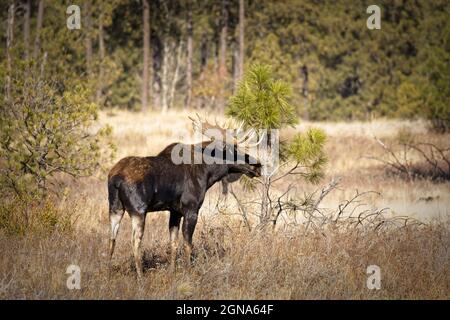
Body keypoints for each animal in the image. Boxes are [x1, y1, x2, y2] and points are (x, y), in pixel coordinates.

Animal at [107, 115, 262, 278]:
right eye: (233, 149)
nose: (257, 166)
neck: (208, 173)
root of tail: (116, 178)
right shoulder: (191, 209)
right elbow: (188, 243)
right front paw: (188, 271)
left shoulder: (175, 212)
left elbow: (173, 243)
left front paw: (172, 271)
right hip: (138, 210)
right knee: (135, 241)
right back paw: (140, 276)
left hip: (115, 208)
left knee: (112, 238)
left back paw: (107, 272)